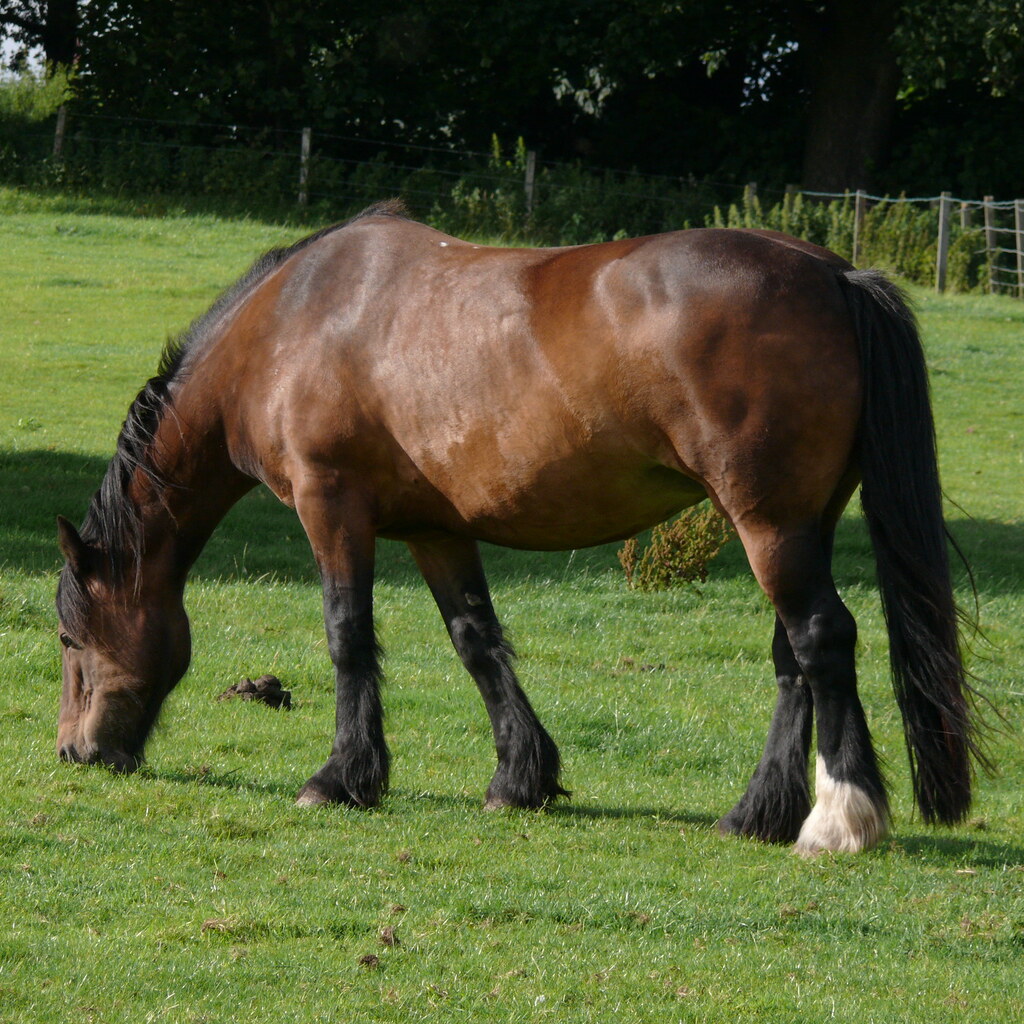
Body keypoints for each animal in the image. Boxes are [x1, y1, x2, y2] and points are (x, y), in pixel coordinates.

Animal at [55, 199, 981, 855]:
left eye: (69, 638)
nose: (75, 751)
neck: (290, 325)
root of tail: (835, 275)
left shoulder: (332, 507)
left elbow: (348, 637)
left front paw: (342, 777)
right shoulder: (436, 530)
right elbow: (477, 641)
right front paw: (520, 777)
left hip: (770, 524)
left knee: (821, 638)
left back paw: (838, 821)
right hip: (793, 525)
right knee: (794, 658)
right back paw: (756, 814)